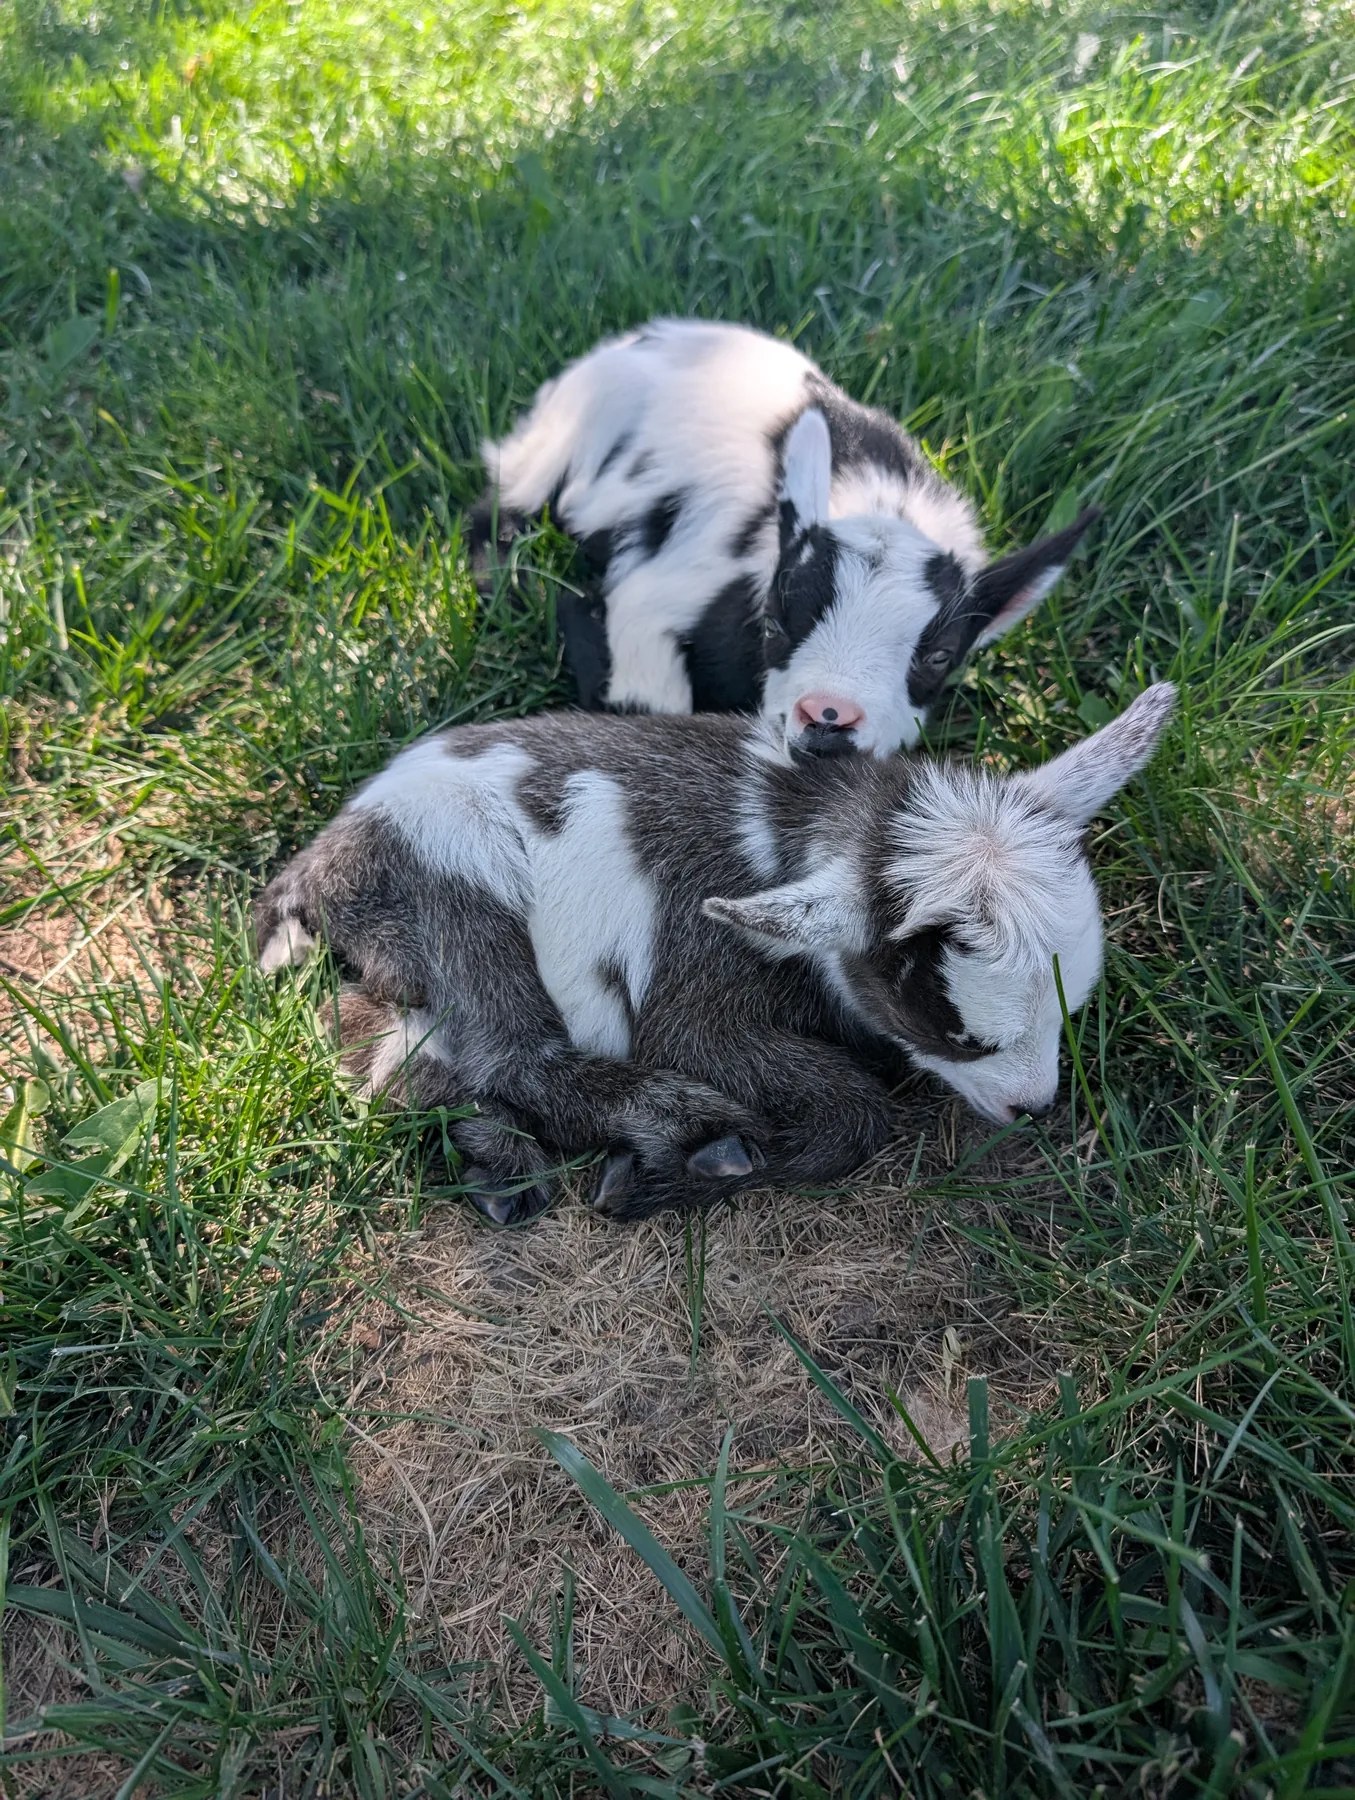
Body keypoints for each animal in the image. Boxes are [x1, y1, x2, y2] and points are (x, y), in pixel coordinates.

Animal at [255, 685, 1174, 1222]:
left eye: (1071, 1012)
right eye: (956, 1034)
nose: (1035, 1106)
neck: (787, 828)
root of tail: (316, 864)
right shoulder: (694, 977)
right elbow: (852, 1109)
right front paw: (702, 1164)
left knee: (381, 1048)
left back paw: (495, 1161)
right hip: (454, 876)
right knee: (510, 1050)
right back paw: (658, 1131)